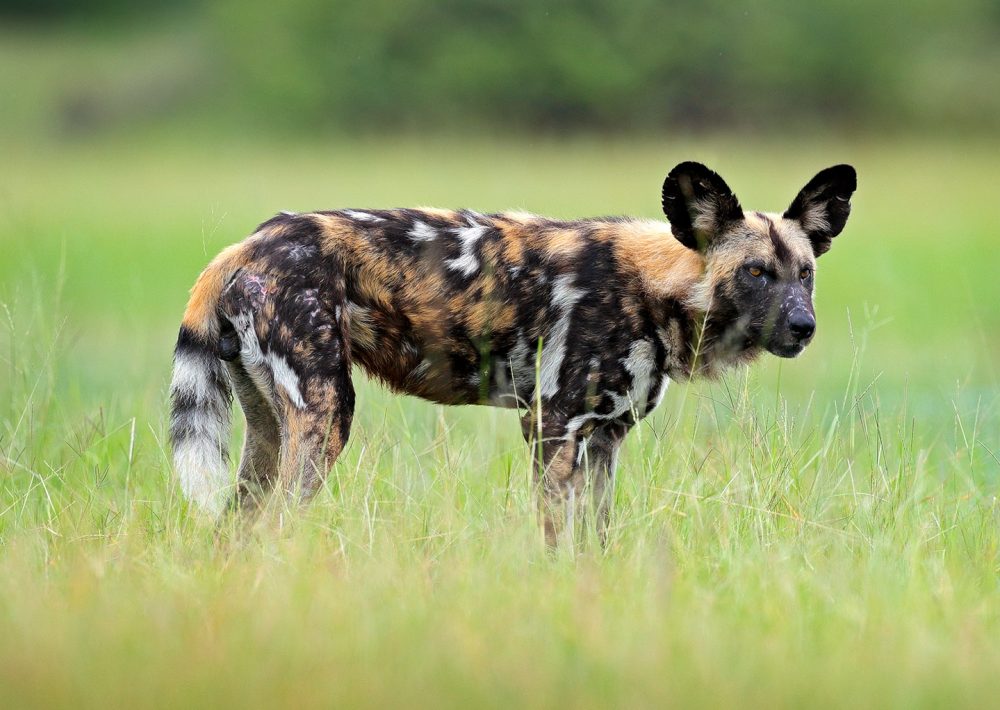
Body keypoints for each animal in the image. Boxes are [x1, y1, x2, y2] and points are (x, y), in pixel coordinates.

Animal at [168, 164, 856, 548]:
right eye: (756, 273)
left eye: (805, 274)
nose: (804, 326)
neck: (656, 287)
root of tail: (248, 243)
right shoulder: (552, 427)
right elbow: (556, 542)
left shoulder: (603, 440)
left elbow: (594, 544)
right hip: (325, 418)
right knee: (274, 525)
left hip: (268, 434)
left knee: (234, 532)